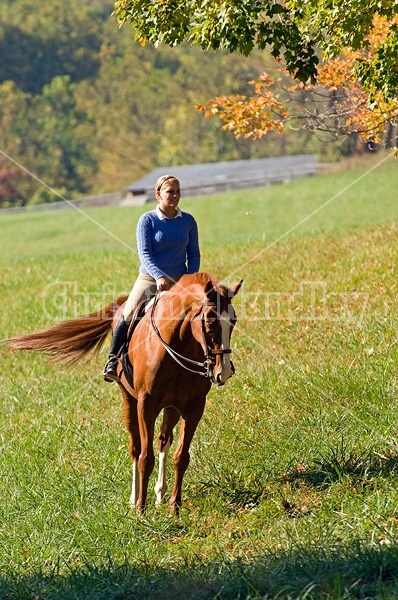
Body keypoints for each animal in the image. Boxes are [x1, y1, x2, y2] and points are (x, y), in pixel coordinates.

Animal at [3, 274, 243, 512]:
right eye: (210, 323)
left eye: (233, 321)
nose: (223, 372)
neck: (179, 345)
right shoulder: (146, 404)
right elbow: (145, 458)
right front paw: (141, 509)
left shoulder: (194, 407)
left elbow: (181, 457)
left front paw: (174, 507)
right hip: (129, 399)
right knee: (136, 447)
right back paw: (134, 497)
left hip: (172, 407)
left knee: (163, 440)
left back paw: (160, 493)